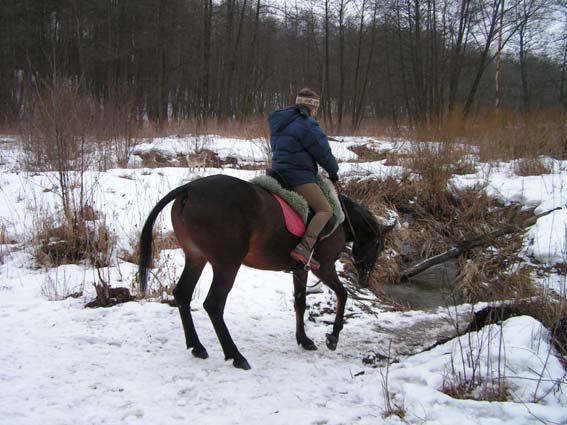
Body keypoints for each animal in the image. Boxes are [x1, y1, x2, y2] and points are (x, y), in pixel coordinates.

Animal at [140, 174, 392, 370]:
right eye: (378, 245)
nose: (366, 280)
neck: (341, 219)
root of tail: (189, 189)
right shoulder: (326, 266)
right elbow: (342, 294)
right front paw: (333, 336)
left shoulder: (300, 270)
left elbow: (300, 302)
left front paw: (304, 340)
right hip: (226, 264)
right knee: (213, 304)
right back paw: (236, 356)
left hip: (196, 258)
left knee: (183, 294)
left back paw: (197, 346)